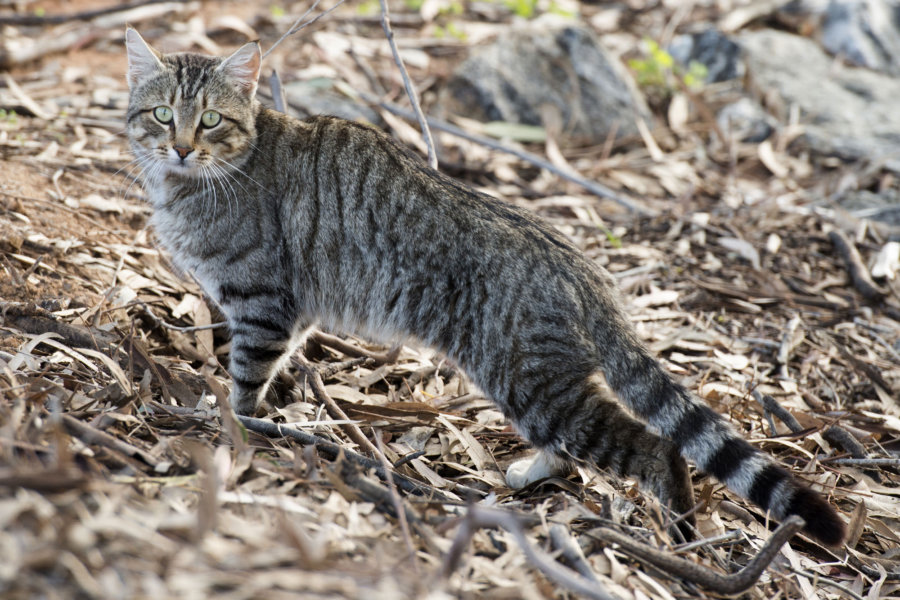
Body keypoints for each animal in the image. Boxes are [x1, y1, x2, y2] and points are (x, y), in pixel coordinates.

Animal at [125, 27, 844, 544]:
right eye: (161, 114)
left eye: (210, 121)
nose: (181, 146)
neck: (197, 182)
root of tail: (583, 270)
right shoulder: (289, 311)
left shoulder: (263, 302)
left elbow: (246, 379)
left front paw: (230, 426)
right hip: (539, 387)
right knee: (576, 450)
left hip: (530, 381)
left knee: (656, 446)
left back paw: (683, 534)